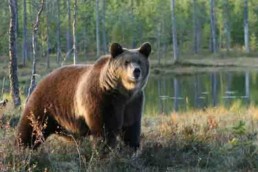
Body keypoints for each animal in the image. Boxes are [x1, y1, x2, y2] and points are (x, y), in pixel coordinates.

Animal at [16, 42, 151, 150]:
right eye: (126, 62)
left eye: (140, 61)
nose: (136, 71)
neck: (122, 92)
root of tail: (42, 80)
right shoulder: (101, 99)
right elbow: (104, 129)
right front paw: (105, 150)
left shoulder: (133, 102)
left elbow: (131, 128)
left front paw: (132, 148)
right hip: (44, 105)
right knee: (31, 127)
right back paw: (22, 148)